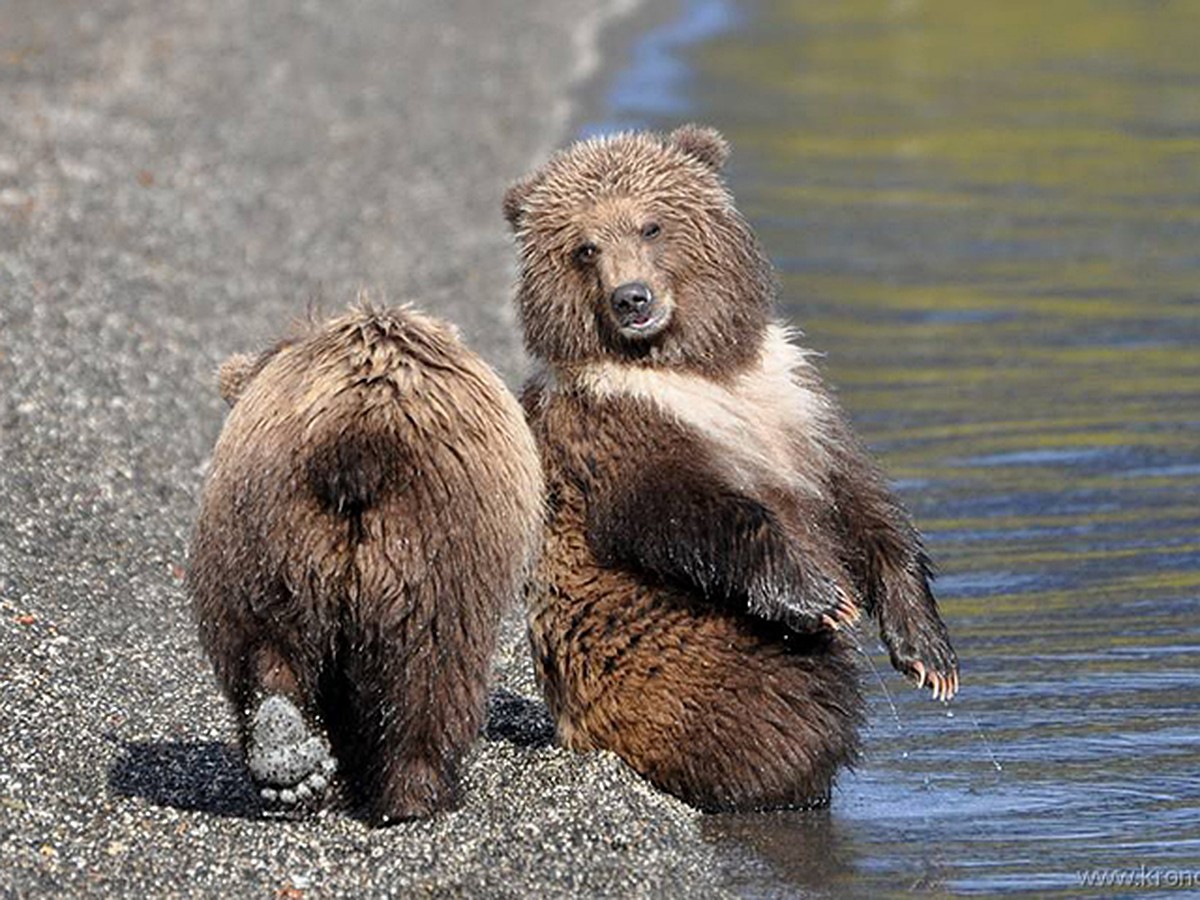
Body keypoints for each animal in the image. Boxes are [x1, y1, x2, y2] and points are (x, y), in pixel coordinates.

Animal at [188, 307, 544, 830]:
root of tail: (355, 442)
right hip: (432, 542)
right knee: (431, 666)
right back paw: (416, 796)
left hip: (264, 529)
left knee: (262, 635)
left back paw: (287, 755)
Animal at [501, 123, 960, 816]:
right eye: (584, 246)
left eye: (651, 225)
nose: (631, 298)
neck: (695, 366)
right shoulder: (613, 429)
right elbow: (684, 509)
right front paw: (823, 598)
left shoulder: (791, 398)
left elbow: (860, 503)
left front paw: (930, 654)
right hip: (693, 655)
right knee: (781, 706)